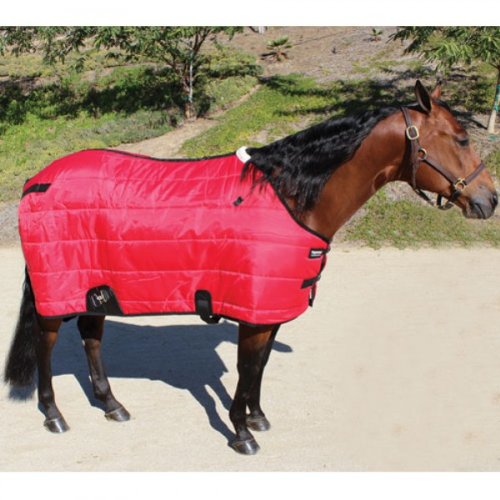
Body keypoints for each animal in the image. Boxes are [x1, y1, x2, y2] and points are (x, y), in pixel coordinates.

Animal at [4, 80, 498, 455]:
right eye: (461, 138)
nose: (489, 200)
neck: (290, 196)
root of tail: (36, 180)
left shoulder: (270, 307)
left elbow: (257, 369)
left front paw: (257, 418)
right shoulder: (252, 310)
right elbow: (246, 370)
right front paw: (241, 433)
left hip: (97, 290)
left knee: (91, 338)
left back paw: (112, 406)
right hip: (58, 292)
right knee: (47, 347)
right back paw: (54, 415)